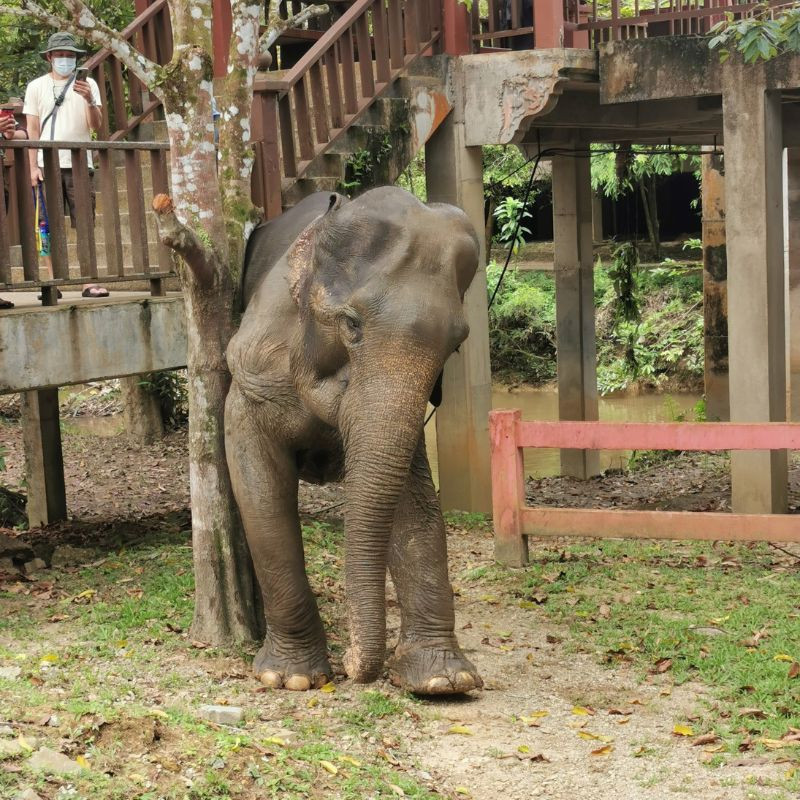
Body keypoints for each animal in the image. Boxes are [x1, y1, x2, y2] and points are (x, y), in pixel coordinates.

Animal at [225, 186, 484, 692]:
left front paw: (445, 682)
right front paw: (290, 679)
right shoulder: (253, 363)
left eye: (456, 345)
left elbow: (411, 499)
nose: (352, 665)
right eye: (351, 325)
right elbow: (259, 488)